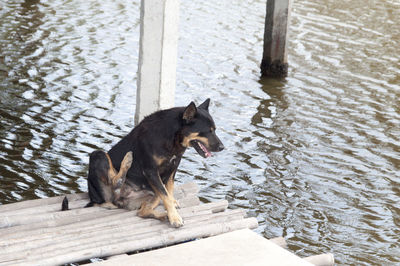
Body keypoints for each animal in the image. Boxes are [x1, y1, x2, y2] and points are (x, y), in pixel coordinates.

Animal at [64, 98, 223, 228]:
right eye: (208, 131)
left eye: (214, 130)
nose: (222, 147)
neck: (173, 138)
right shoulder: (151, 170)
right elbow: (166, 195)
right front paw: (175, 218)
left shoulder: (173, 167)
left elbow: (169, 190)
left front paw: (172, 209)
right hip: (98, 155)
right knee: (114, 181)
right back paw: (127, 161)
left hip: (151, 192)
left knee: (142, 212)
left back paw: (163, 216)